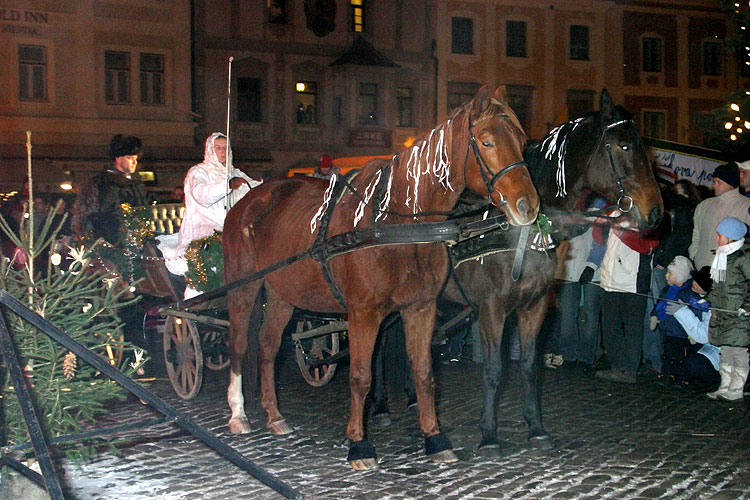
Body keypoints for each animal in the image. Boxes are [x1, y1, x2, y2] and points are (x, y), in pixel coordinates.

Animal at [222, 85, 540, 468]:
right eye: (487, 141)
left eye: (522, 142)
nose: (528, 206)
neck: (399, 224)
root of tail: (250, 197)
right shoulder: (363, 312)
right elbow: (361, 376)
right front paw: (359, 444)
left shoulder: (421, 307)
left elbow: (424, 372)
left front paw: (434, 437)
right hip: (244, 286)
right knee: (239, 343)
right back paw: (239, 414)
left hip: (284, 293)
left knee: (268, 345)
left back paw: (274, 414)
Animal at [444, 88, 668, 456]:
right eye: (623, 146)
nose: (656, 213)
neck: (522, 228)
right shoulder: (492, 309)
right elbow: (493, 370)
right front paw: (489, 435)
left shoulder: (534, 306)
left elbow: (529, 366)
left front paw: (536, 429)